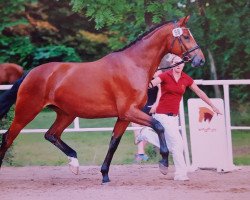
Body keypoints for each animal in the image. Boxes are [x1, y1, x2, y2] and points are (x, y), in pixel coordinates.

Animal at [0, 16, 205, 184]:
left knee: (51, 135)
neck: (134, 65)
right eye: (186, 37)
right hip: (27, 111)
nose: (200, 60)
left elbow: (113, 143)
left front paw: (105, 175)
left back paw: (74, 162)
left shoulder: (124, 117)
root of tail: (30, 73)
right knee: (8, 137)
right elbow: (159, 126)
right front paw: (163, 163)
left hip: (66, 113)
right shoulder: (130, 112)